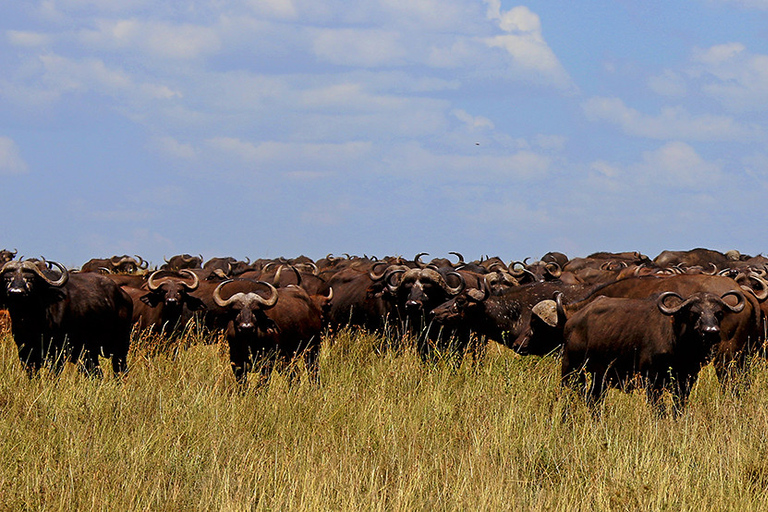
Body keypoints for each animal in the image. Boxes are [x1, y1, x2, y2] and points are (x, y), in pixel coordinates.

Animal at [0, 260, 132, 376]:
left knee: (120, 371)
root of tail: (124, 296)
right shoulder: (25, 354)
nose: (16, 292)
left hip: (120, 347)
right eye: (7, 279)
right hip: (89, 354)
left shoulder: (57, 354)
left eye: (30, 279)